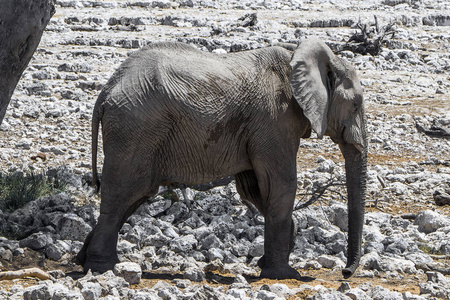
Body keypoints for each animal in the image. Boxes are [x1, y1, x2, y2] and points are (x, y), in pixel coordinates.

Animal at [76, 38, 366, 280]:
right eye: (356, 105)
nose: (345, 273)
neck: (298, 56)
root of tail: (106, 91)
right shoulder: (274, 120)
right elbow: (280, 184)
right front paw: (283, 274)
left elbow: (253, 189)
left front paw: (269, 261)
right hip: (135, 129)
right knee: (123, 195)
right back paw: (102, 266)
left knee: (135, 196)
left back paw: (83, 261)